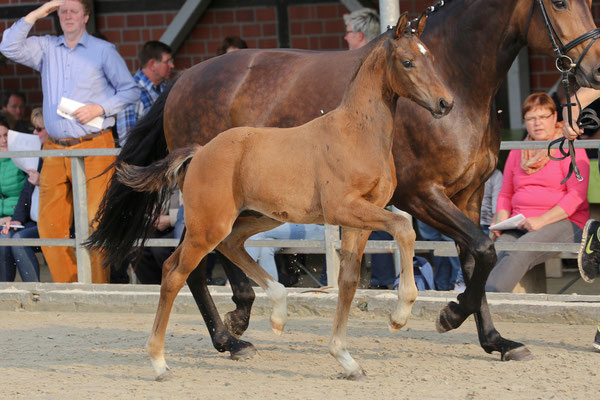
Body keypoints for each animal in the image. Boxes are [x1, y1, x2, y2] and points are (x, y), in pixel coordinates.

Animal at [119, 13, 452, 382]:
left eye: (431, 58)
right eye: (407, 62)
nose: (445, 103)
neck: (357, 133)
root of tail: (200, 151)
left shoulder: (361, 218)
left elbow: (348, 281)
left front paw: (346, 359)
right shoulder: (344, 208)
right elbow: (404, 228)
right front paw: (399, 315)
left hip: (255, 218)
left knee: (220, 248)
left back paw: (276, 312)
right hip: (209, 225)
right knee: (176, 273)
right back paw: (160, 362)